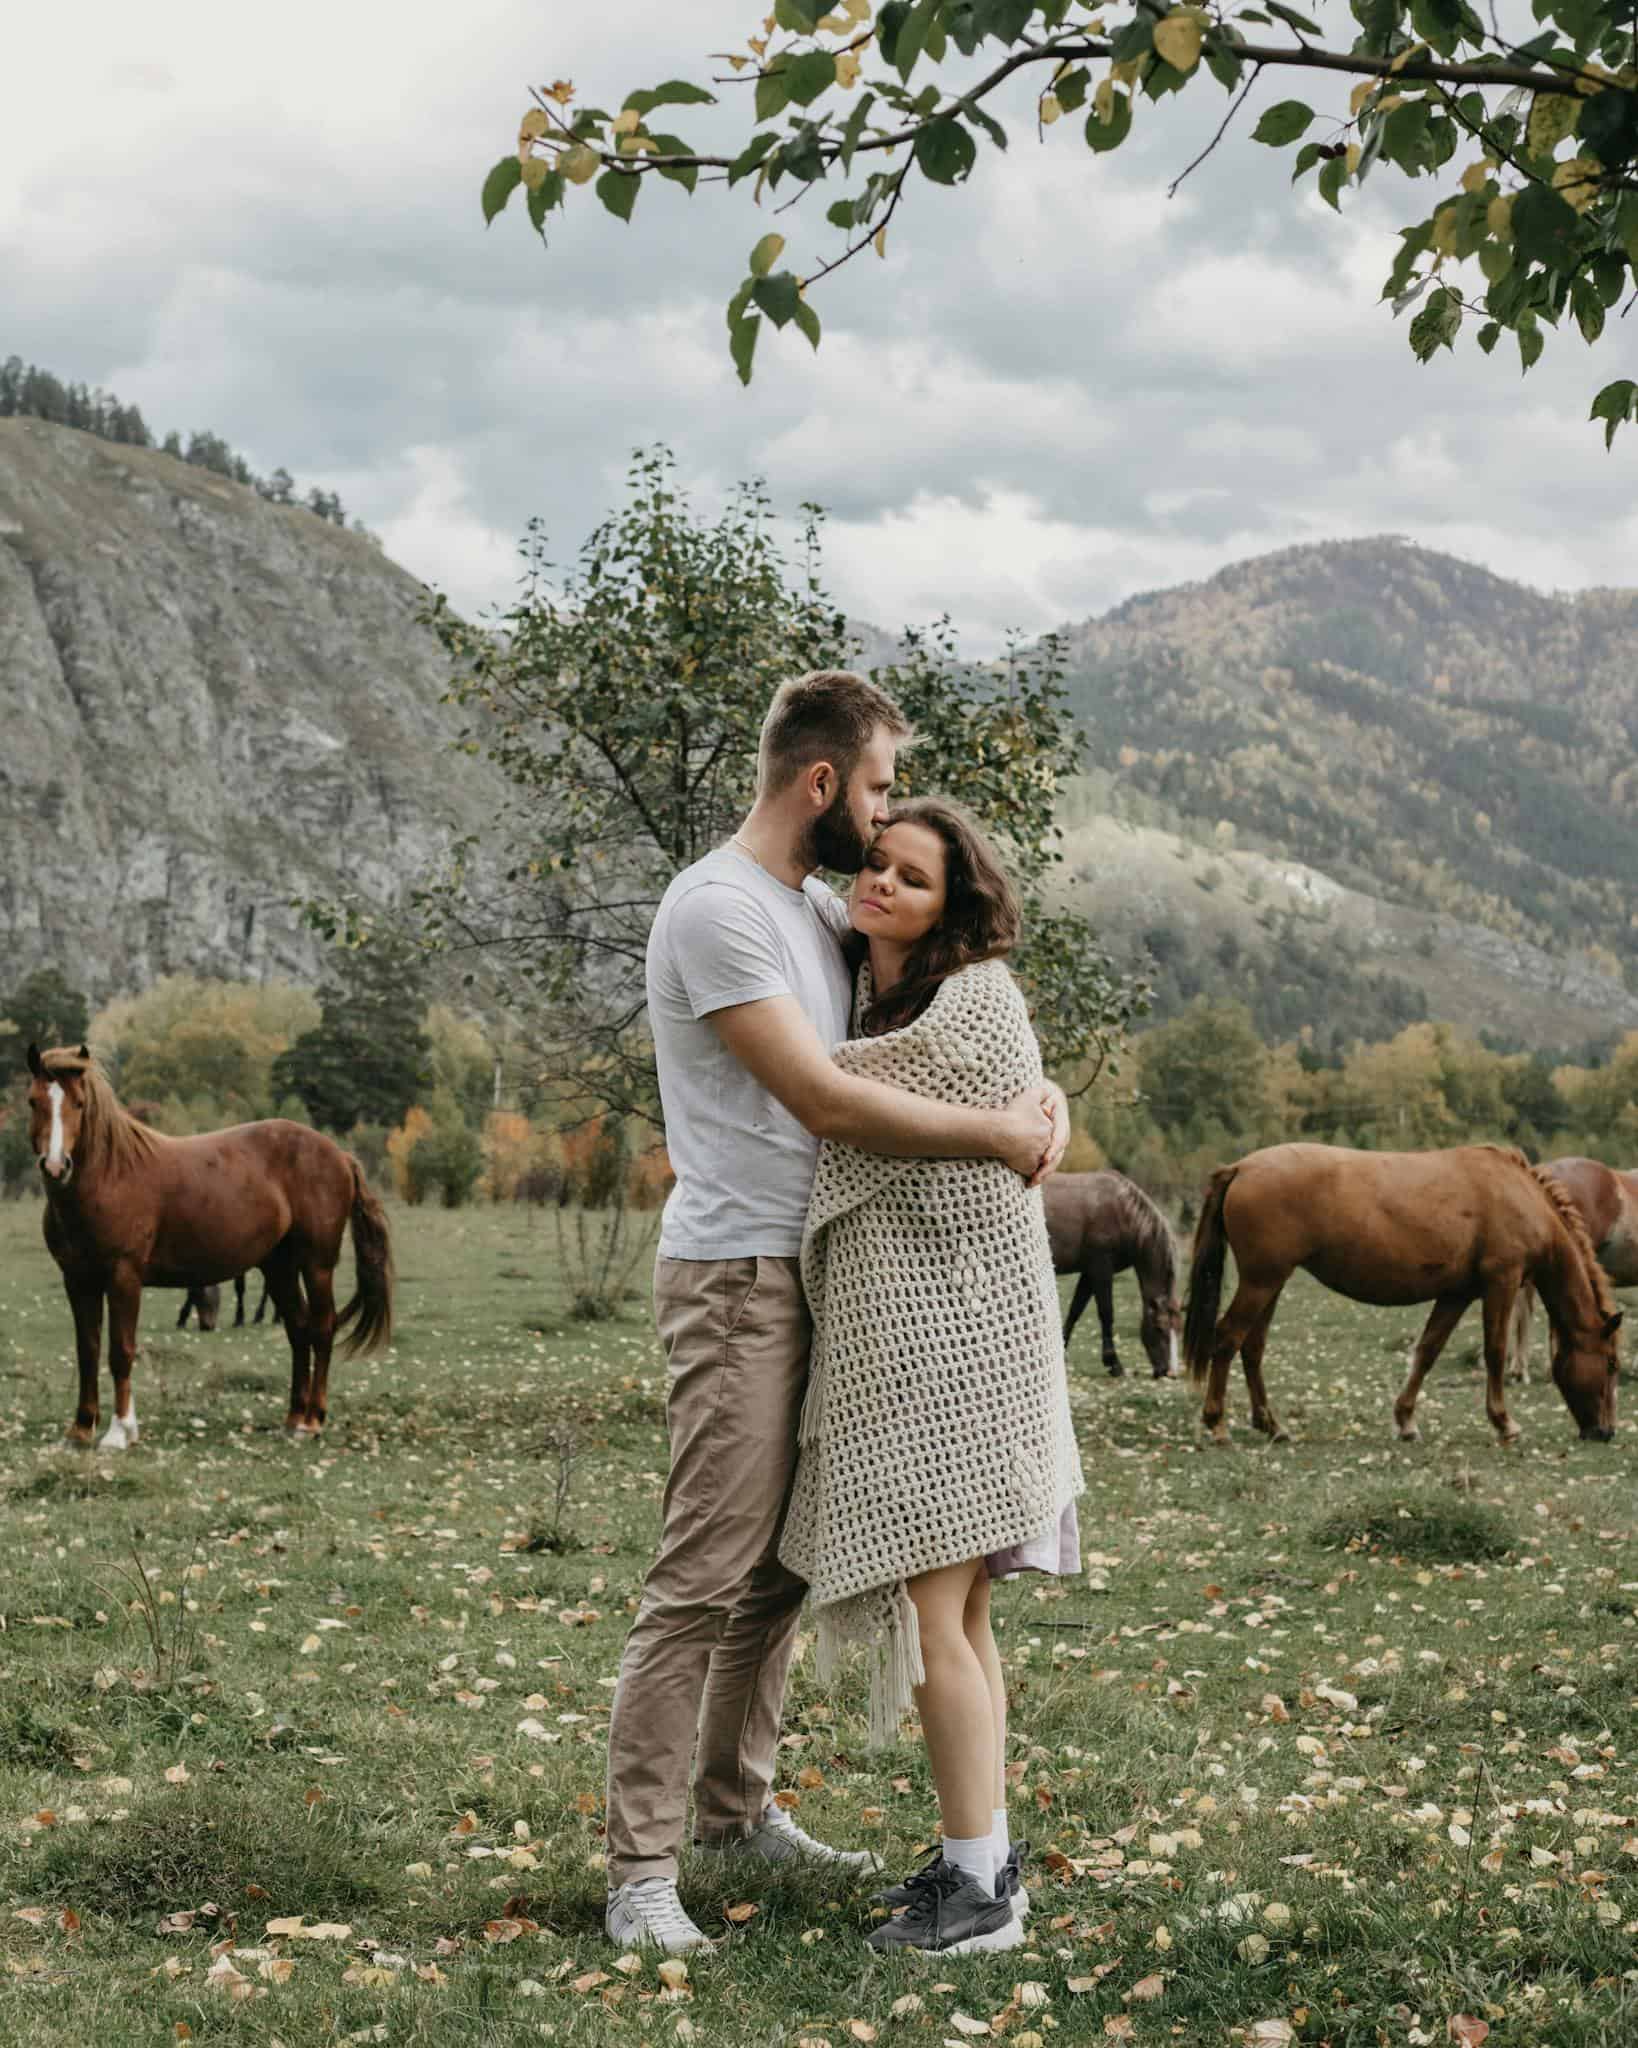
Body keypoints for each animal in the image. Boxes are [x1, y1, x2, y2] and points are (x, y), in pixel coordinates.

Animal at [28, 1048, 397, 1449]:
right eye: (34, 1102)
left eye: (79, 1104)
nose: (55, 1166)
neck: (111, 1176)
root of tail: (340, 1156)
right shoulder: (78, 1280)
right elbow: (88, 1351)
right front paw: (80, 1429)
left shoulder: (123, 1277)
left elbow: (120, 1351)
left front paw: (119, 1432)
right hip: (279, 1267)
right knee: (298, 1330)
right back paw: (293, 1419)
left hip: (317, 1265)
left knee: (321, 1329)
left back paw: (312, 1421)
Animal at [1044, 1171, 1187, 1376]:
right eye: (1159, 1328)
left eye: (1180, 1328)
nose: (1169, 1373)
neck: (1122, 1212)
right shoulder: (1101, 1268)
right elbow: (1106, 1313)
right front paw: (1113, 1362)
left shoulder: (1089, 1273)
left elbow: (1075, 1311)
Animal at [1187, 1146, 1621, 1449]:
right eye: (1612, 1364)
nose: (1606, 1432)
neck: (1516, 1193)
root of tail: (1240, 1168)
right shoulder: (1502, 1281)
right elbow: (1495, 1352)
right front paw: (1505, 1423)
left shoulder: (1456, 1294)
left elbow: (1427, 1351)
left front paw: (1407, 1421)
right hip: (1261, 1282)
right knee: (1227, 1339)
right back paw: (1217, 1424)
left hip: (1271, 1283)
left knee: (1252, 1348)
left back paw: (1273, 1426)